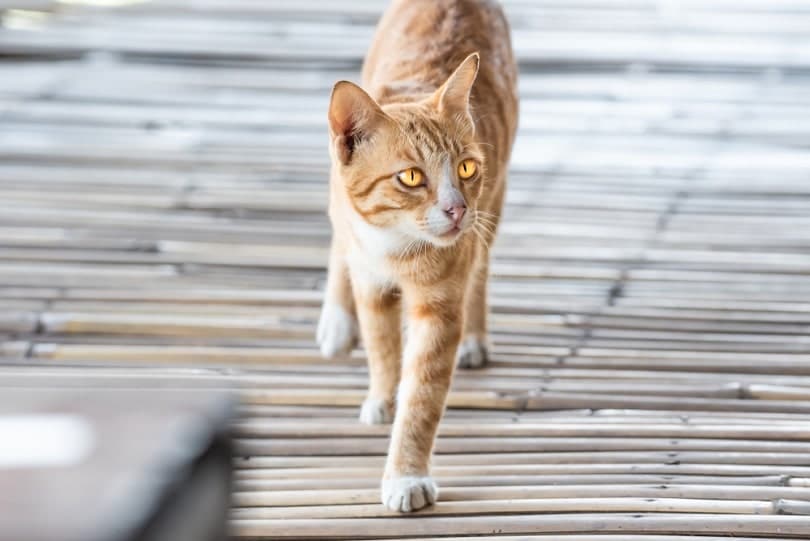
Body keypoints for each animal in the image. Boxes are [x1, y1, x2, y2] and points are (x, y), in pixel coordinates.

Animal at [318, 0, 516, 510]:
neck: (394, 247)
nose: (457, 209)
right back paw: (336, 322)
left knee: (481, 270)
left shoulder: (439, 307)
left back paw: (474, 339)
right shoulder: (369, 280)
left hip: (493, 206)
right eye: (410, 177)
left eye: (466, 168)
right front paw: (383, 397)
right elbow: (383, 346)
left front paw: (406, 474)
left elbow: (422, 396)